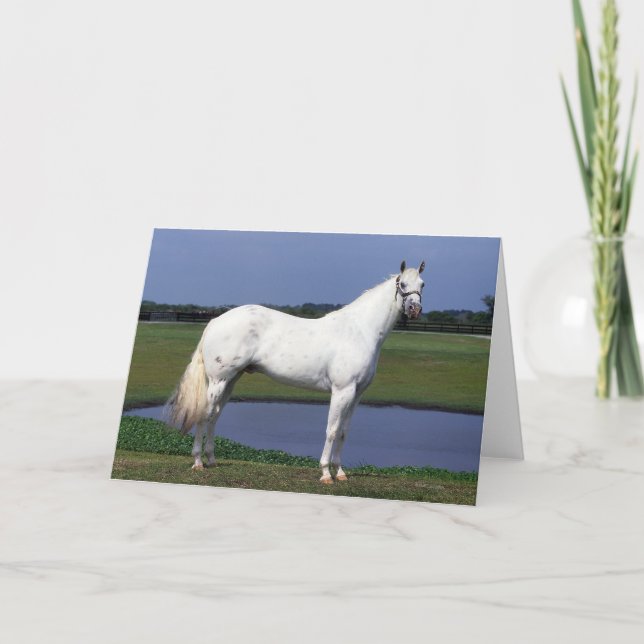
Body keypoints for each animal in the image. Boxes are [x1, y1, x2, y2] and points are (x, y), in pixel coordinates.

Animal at [166, 259, 426, 484]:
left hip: (231, 380)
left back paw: (211, 460)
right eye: (402, 284)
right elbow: (332, 430)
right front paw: (326, 473)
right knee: (205, 414)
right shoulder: (341, 391)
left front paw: (340, 472)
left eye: (422, 284)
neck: (359, 331)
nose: (414, 309)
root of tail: (215, 321)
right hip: (218, 380)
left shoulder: (357, 394)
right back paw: (198, 462)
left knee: (215, 416)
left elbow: (343, 432)